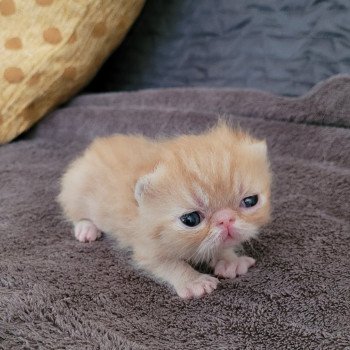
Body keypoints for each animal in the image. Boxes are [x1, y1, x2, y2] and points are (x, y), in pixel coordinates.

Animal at [58, 122, 270, 298]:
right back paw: (86, 228)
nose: (225, 219)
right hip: (76, 189)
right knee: (77, 212)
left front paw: (230, 261)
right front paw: (194, 281)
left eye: (250, 201)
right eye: (191, 219)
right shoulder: (147, 250)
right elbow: (171, 264)